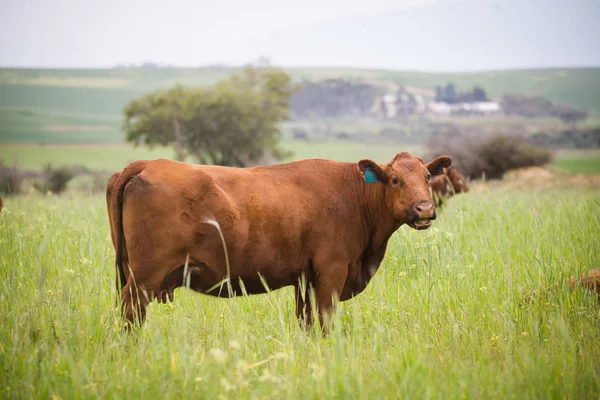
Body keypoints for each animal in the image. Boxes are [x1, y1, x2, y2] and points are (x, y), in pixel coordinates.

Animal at [106, 152, 450, 330]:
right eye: (395, 179)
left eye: (427, 177)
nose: (425, 209)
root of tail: (147, 163)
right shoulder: (331, 272)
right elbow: (324, 321)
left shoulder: (305, 280)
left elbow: (306, 322)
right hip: (145, 276)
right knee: (131, 312)